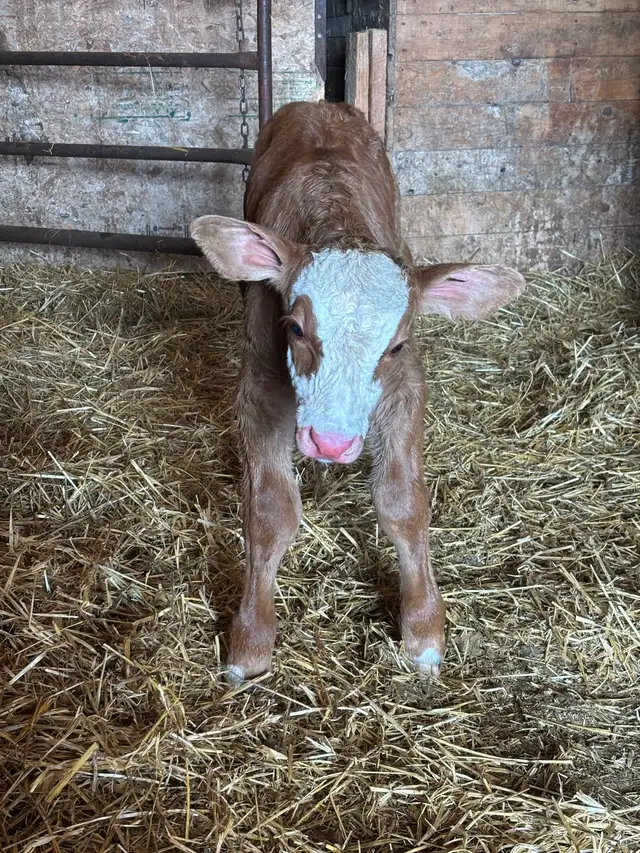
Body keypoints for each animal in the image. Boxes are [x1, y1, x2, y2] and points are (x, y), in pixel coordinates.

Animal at [190, 101, 524, 683]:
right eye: (295, 329)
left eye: (395, 345)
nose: (330, 443)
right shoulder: (259, 385)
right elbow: (271, 510)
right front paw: (251, 641)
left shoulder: (407, 385)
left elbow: (402, 502)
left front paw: (423, 632)